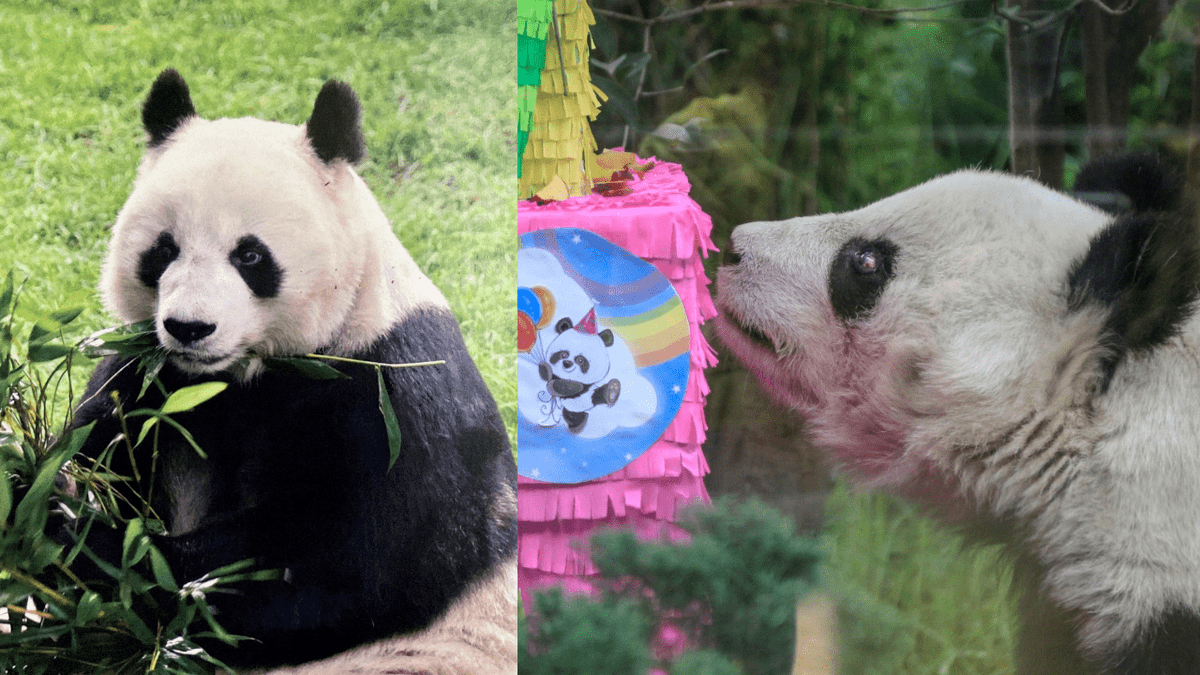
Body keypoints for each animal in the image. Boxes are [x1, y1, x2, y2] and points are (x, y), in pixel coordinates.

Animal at [69, 69, 517, 672]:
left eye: (249, 256)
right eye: (163, 251)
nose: (189, 327)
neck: (240, 375)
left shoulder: (393, 397)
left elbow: (344, 576)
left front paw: (93, 541)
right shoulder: (151, 379)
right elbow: (99, 448)